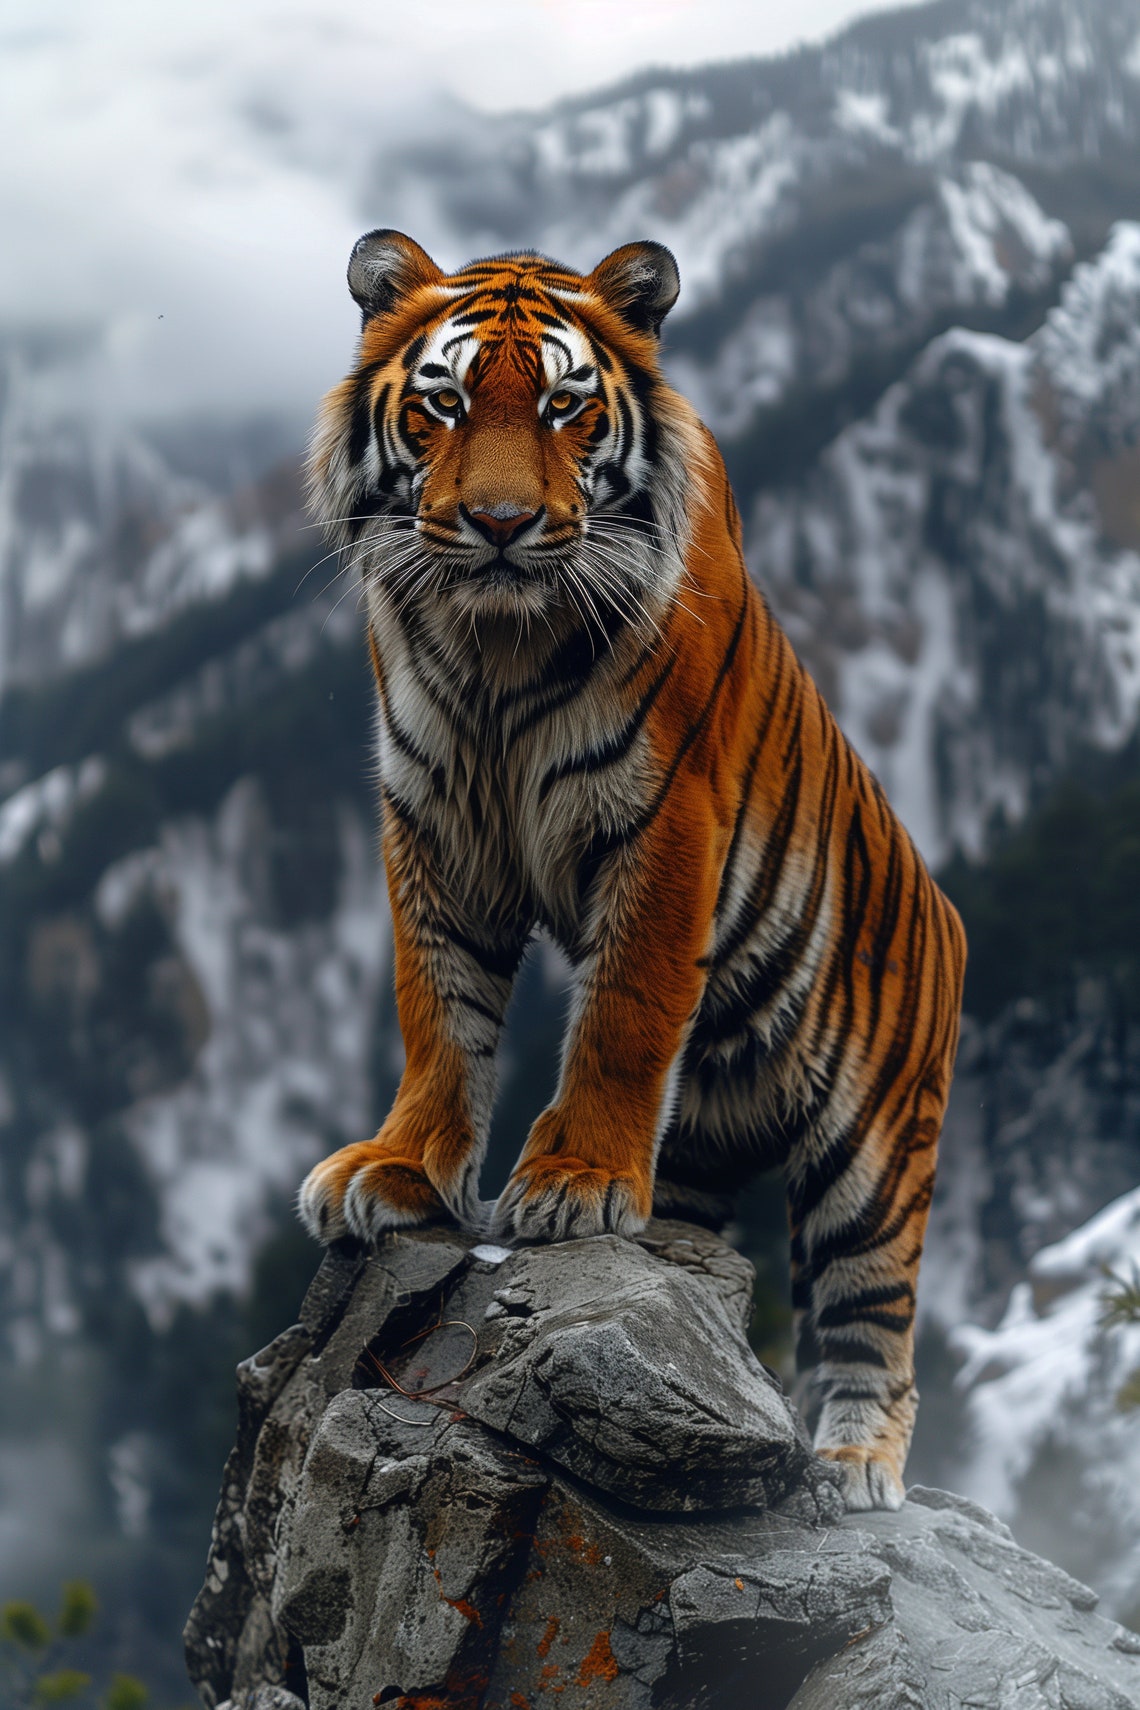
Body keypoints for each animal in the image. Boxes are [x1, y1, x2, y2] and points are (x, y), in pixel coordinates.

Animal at [298, 229, 966, 1511]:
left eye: (566, 406)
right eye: (442, 403)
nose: (501, 522)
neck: (493, 647)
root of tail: (948, 907)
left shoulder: (667, 819)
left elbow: (622, 1012)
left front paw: (574, 1184)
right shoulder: (432, 822)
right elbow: (436, 1009)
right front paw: (401, 1168)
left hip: (877, 1151)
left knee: (875, 1317)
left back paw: (854, 1468)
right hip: (708, 1138)